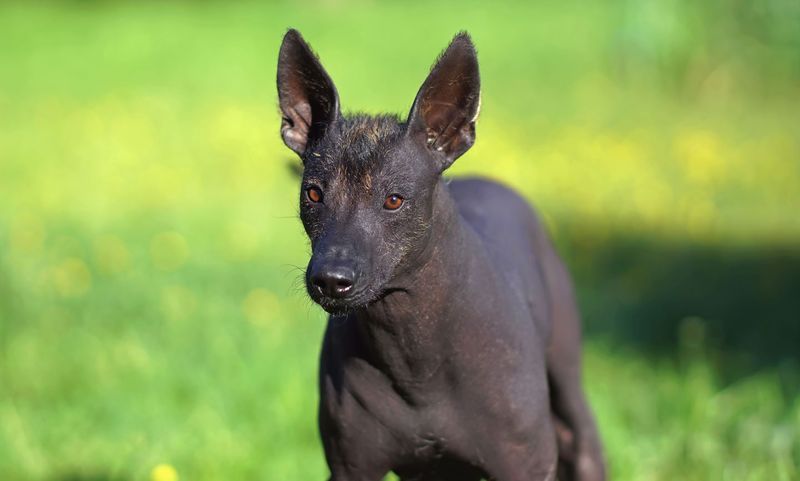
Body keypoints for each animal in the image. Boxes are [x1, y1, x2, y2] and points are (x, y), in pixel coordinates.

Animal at [278, 30, 604, 480]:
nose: (331, 279)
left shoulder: (525, 465)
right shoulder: (350, 467)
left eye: (394, 200)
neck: (415, 357)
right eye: (313, 194)